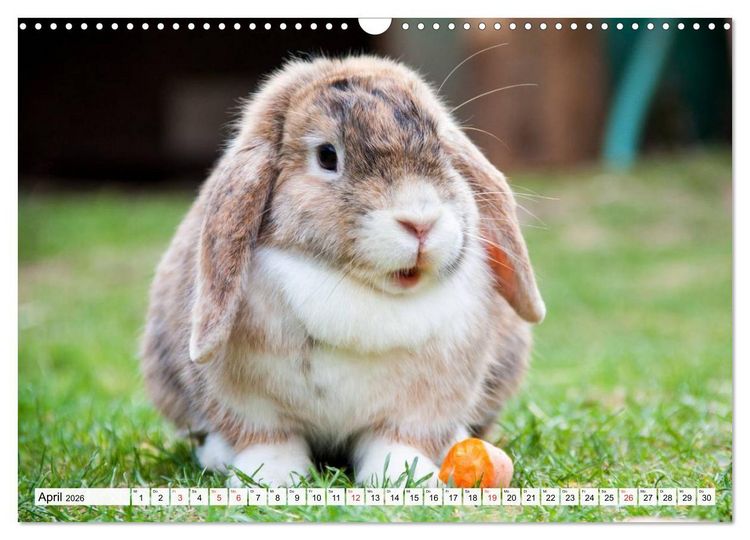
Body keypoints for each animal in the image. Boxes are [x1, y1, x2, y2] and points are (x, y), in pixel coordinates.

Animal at [140, 55, 545, 488]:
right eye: (327, 156)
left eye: (440, 146)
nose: (420, 222)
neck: (358, 288)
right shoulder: (251, 405)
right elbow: (269, 439)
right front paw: (271, 479)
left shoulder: (422, 406)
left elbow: (397, 441)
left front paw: (403, 478)